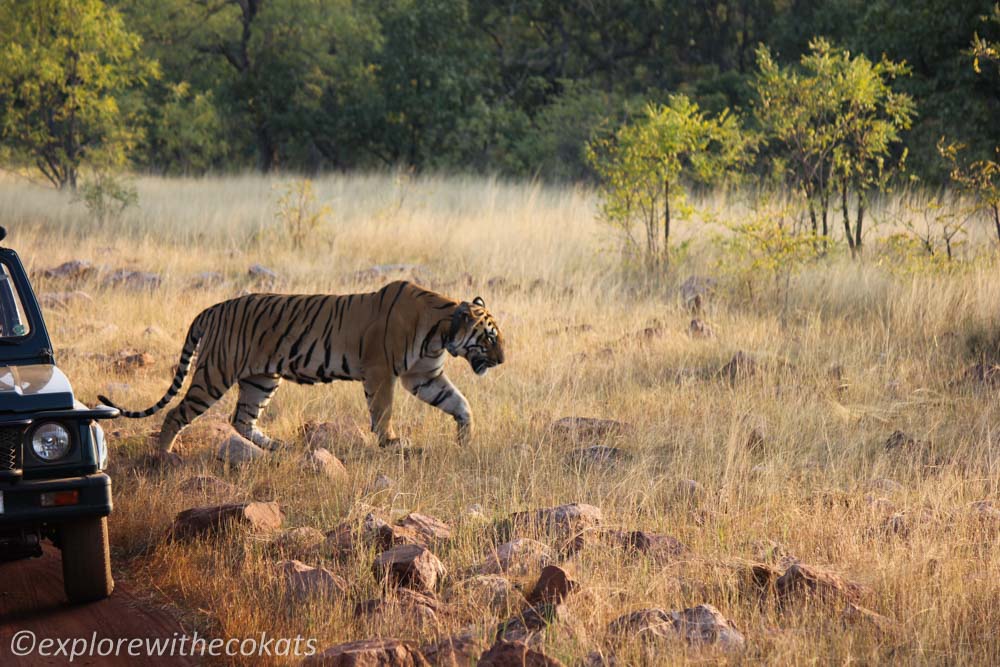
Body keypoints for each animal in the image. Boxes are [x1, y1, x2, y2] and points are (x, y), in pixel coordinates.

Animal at [97, 280, 504, 456]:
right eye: (489, 338)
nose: (502, 360)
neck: (441, 332)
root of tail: (211, 309)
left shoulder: (423, 376)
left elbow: (459, 403)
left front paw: (465, 438)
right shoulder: (382, 372)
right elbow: (383, 411)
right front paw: (391, 442)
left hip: (261, 379)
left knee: (241, 419)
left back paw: (274, 446)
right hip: (215, 372)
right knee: (176, 414)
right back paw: (164, 458)